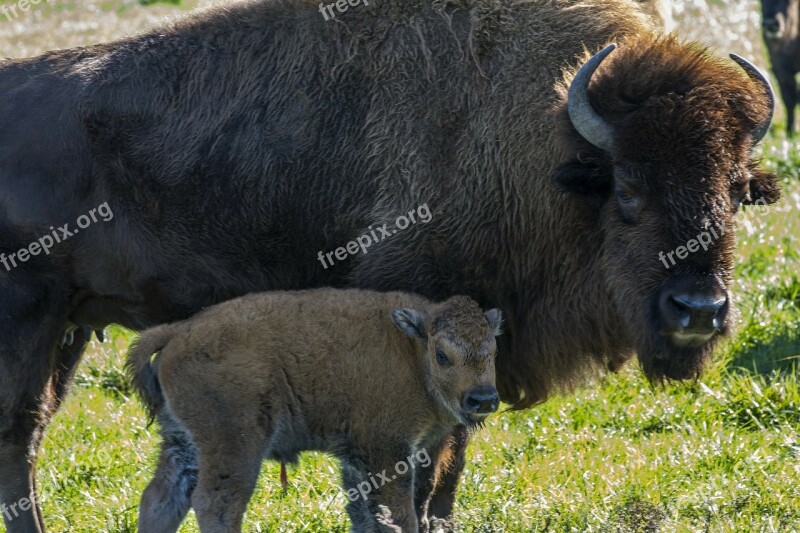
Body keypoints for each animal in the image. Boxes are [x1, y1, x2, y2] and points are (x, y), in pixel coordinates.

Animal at [126, 288, 500, 528]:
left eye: (493, 351)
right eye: (443, 355)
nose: (483, 398)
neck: (412, 351)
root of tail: (180, 331)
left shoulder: (370, 458)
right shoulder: (387, 451)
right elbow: (399, 516)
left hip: (182, 441)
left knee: (160, 499)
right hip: (235, 446)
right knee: (216, 504)